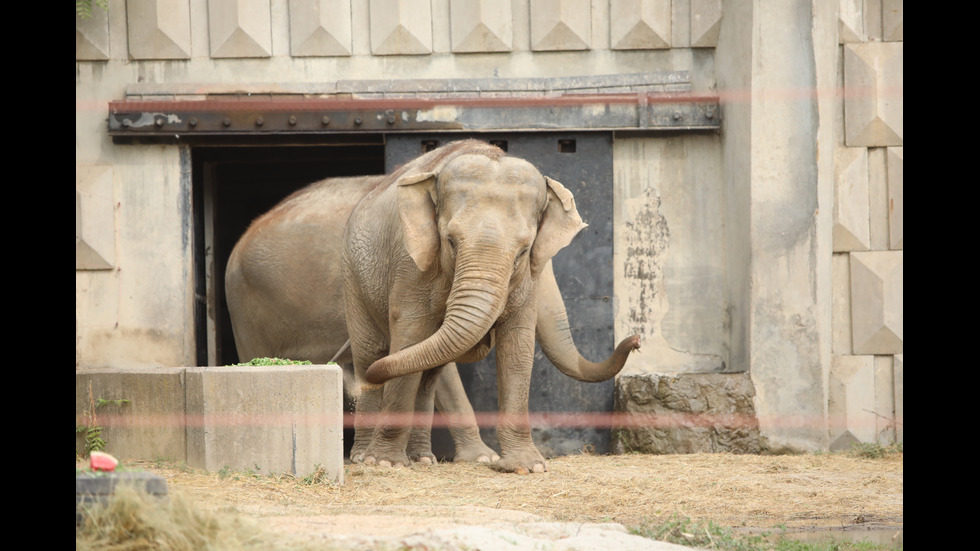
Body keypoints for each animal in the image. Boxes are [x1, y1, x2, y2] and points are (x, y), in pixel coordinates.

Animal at [229, 140, 644, 472]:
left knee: (415, 371)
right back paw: (366, 456)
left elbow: (515, 347)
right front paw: (391, 463)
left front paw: (524, 467)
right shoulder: (411, 263)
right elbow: (414, 338)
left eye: (525, 251)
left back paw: (420, 458)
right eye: (451, 242)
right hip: (307, 292)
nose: (636, 340)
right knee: (372, 353)